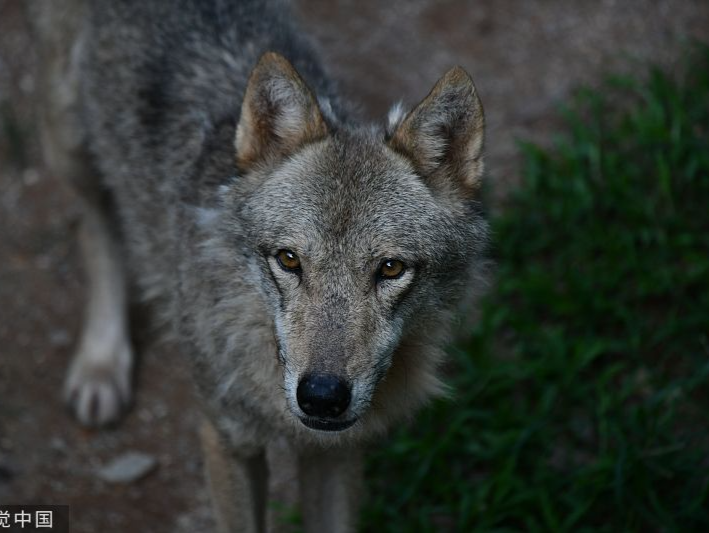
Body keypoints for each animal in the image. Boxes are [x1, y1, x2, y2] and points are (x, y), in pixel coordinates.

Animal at [30, 0, 490, 528]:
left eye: (390, 269)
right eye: (288, 260)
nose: (322, 397)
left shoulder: (336, 451)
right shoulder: (227, 437)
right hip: (68, 143)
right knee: (93, 227)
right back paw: (101, 366)